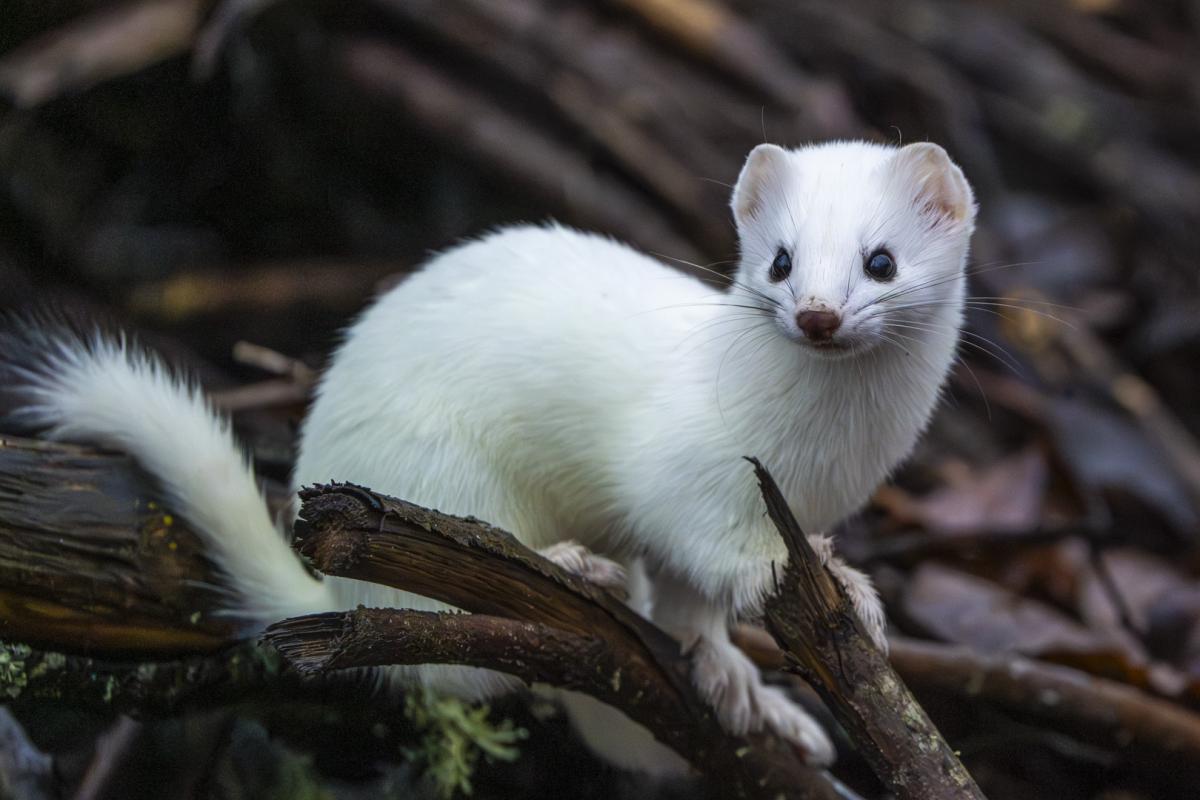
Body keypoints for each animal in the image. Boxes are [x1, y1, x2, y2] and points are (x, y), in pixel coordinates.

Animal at [0, 139, 974, 777]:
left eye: (880, 261)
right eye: (778, 261)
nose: (816, 313)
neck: (823, 454)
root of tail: (336, 591)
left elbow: (695, 611)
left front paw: (755, 694)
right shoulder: (690, 482)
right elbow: (709, 552)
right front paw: (838, 584)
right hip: (444, 478)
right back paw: (570, 564)